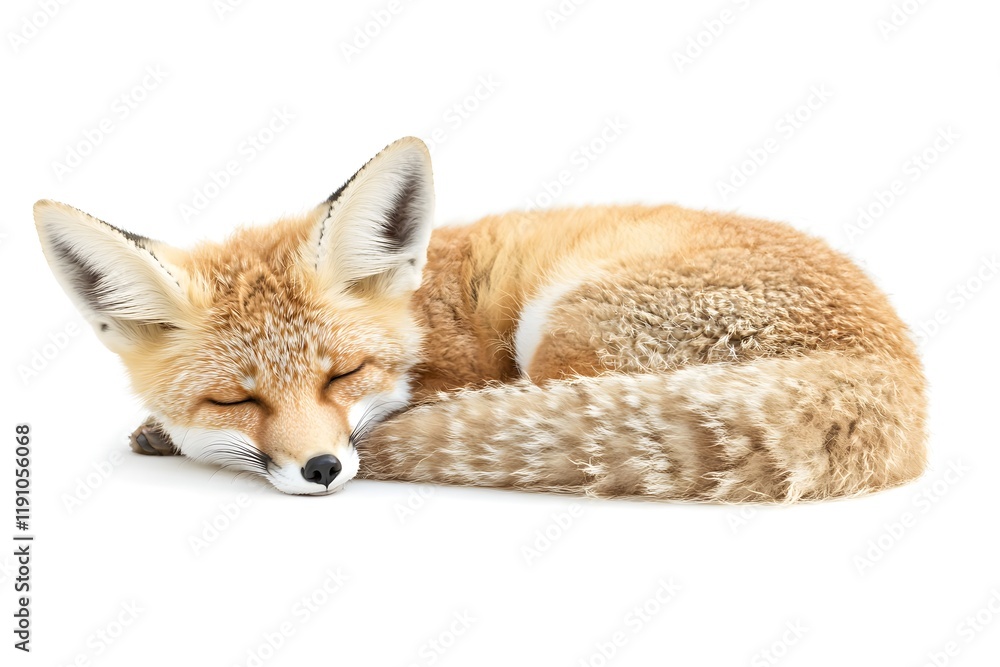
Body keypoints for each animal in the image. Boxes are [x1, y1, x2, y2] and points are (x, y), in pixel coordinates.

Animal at [33, 136, 927, 501]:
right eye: (235, 398)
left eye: (343, 373)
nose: (322, 469)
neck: (423, 313)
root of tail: (892, 365)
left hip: (566, 330)